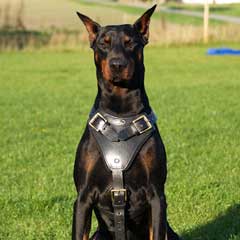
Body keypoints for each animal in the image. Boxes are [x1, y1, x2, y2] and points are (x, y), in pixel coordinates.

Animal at [72, 4, 181, 240]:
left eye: (130, 42)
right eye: (104, 43)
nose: (117, 64)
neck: (120, 112)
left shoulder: (156, 194)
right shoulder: (83, 196)